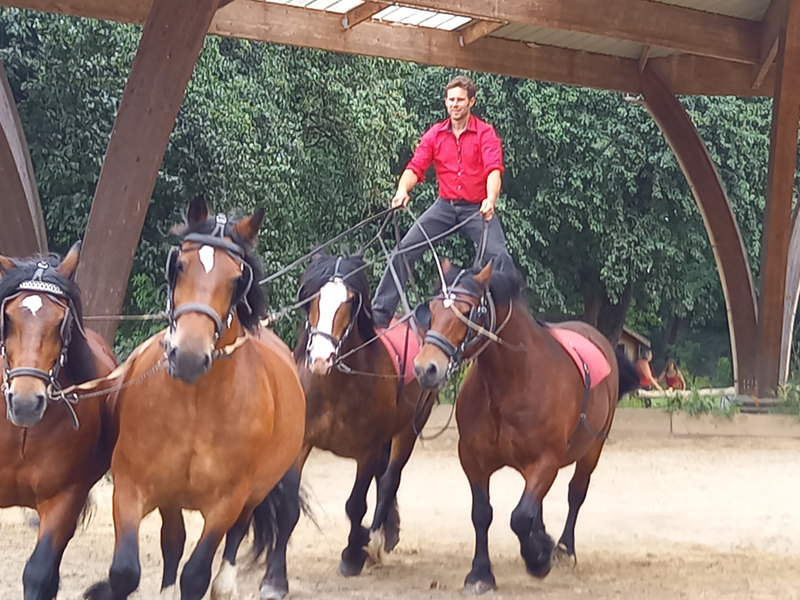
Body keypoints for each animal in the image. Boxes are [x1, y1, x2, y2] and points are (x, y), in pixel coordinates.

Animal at [83, 197, 304, 600]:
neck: (195, 406)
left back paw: (228, 584)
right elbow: (125, 571)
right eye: (180, 266)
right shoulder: (132, 487)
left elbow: (197, 574)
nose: (187, 355)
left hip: (254, 491)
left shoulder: (226, 502)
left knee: (236, 535)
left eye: (236, 279)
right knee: (173, 541)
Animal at [260, 252, 434, 584]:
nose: (320, 359)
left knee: (390, 478)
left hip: (408, 430)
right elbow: (289, 506)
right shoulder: (302, 443)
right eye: (313, 298)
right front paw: (275, 576)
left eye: (351, 301)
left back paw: (377, 539)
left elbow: (356, 505)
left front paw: (352, 556)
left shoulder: (367, 450)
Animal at [412, 260, 636, 592]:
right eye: (432, 308)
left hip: (592, 449)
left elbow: (519, 516)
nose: (425, 368)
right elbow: (483, 514)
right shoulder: (473, 459)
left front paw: (538, 559)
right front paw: (481, 573)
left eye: (468, 311)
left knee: (575, 493)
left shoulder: (547, 460)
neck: (513, 381)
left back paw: (563, 548)